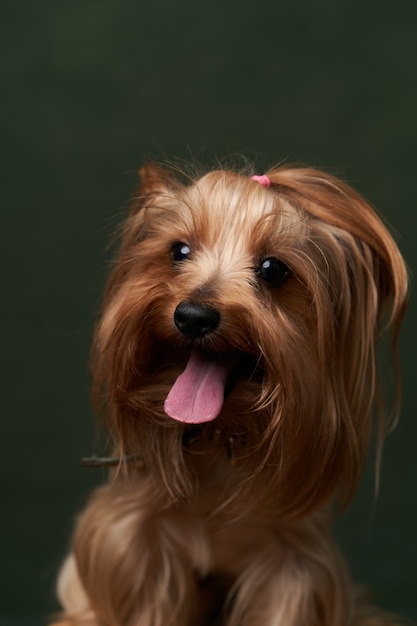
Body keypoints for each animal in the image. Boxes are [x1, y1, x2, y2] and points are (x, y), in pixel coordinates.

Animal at [52, 162, 406, 624]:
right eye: (179, 251)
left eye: (273, 269)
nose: (193, 316)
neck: (217, 436)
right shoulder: (134, 543)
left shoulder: (291, 564)